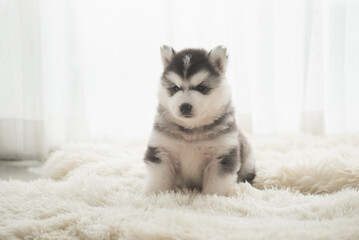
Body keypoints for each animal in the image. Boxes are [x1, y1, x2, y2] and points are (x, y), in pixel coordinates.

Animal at [143, 46, 256, 196]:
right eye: (175, 88)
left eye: (201, 88)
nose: (184, 106)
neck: (191, 131)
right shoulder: (162, 151)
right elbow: (158, 180)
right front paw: (154, 195)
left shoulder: (221, 156)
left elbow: (216, 185)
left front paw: (212, 198)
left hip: (248, 160)